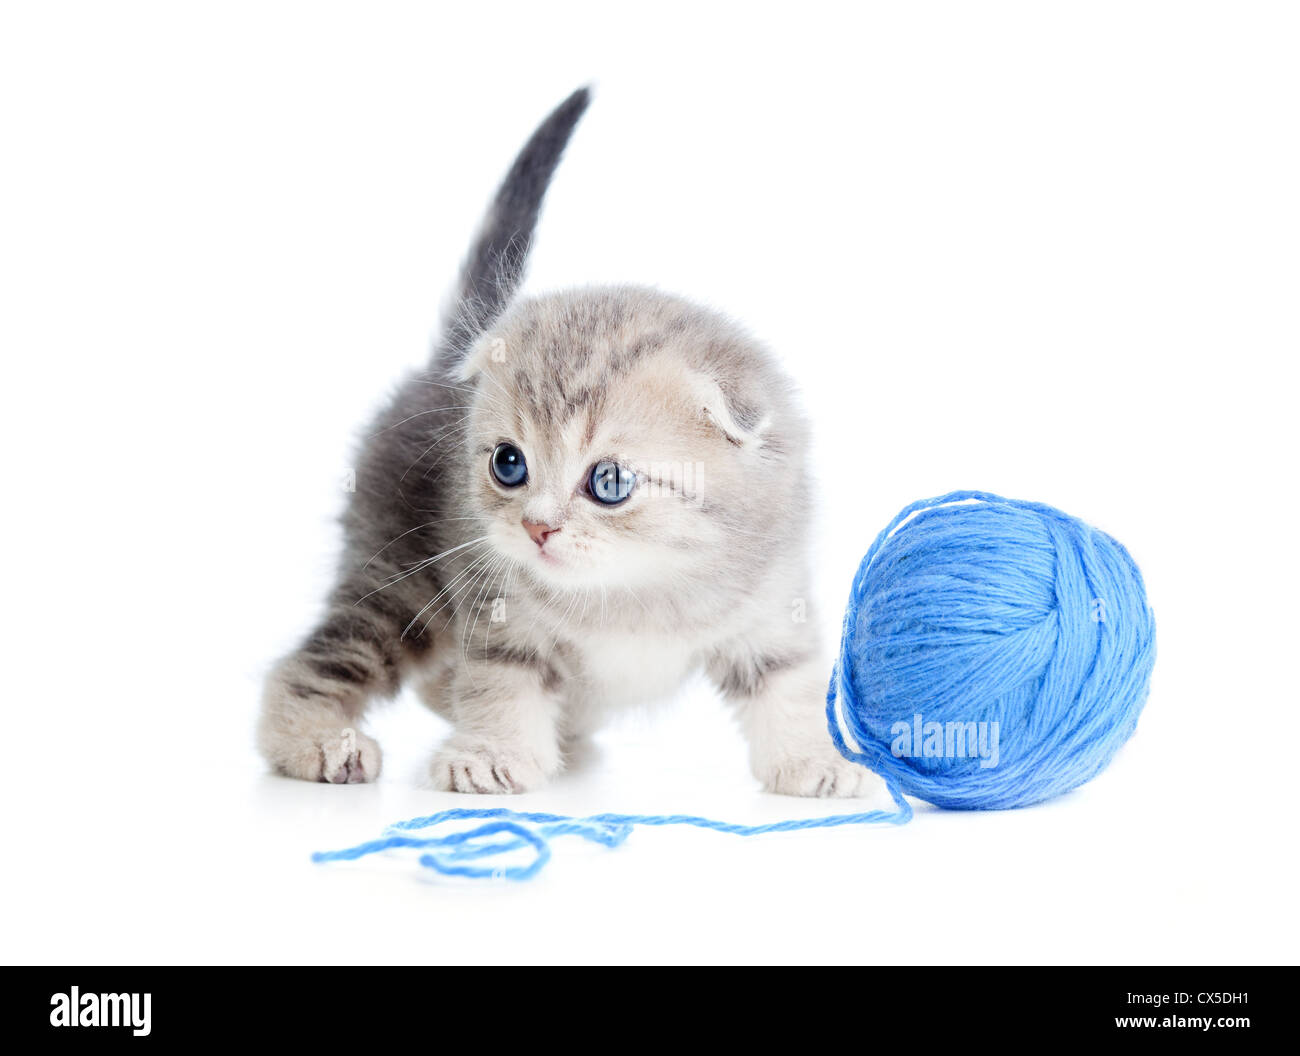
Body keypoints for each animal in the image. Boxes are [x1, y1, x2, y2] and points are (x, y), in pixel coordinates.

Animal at [257, 88, 868, 790]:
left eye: (610, 482)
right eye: (508, 464)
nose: (537, 528)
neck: (637, 585)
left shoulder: (769, 605)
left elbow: (787, 684)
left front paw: (812, 759)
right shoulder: (498, 610)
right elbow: (501, 681)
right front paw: (491, 755)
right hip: (399, 574)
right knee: (321, 660)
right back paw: (315, 741)